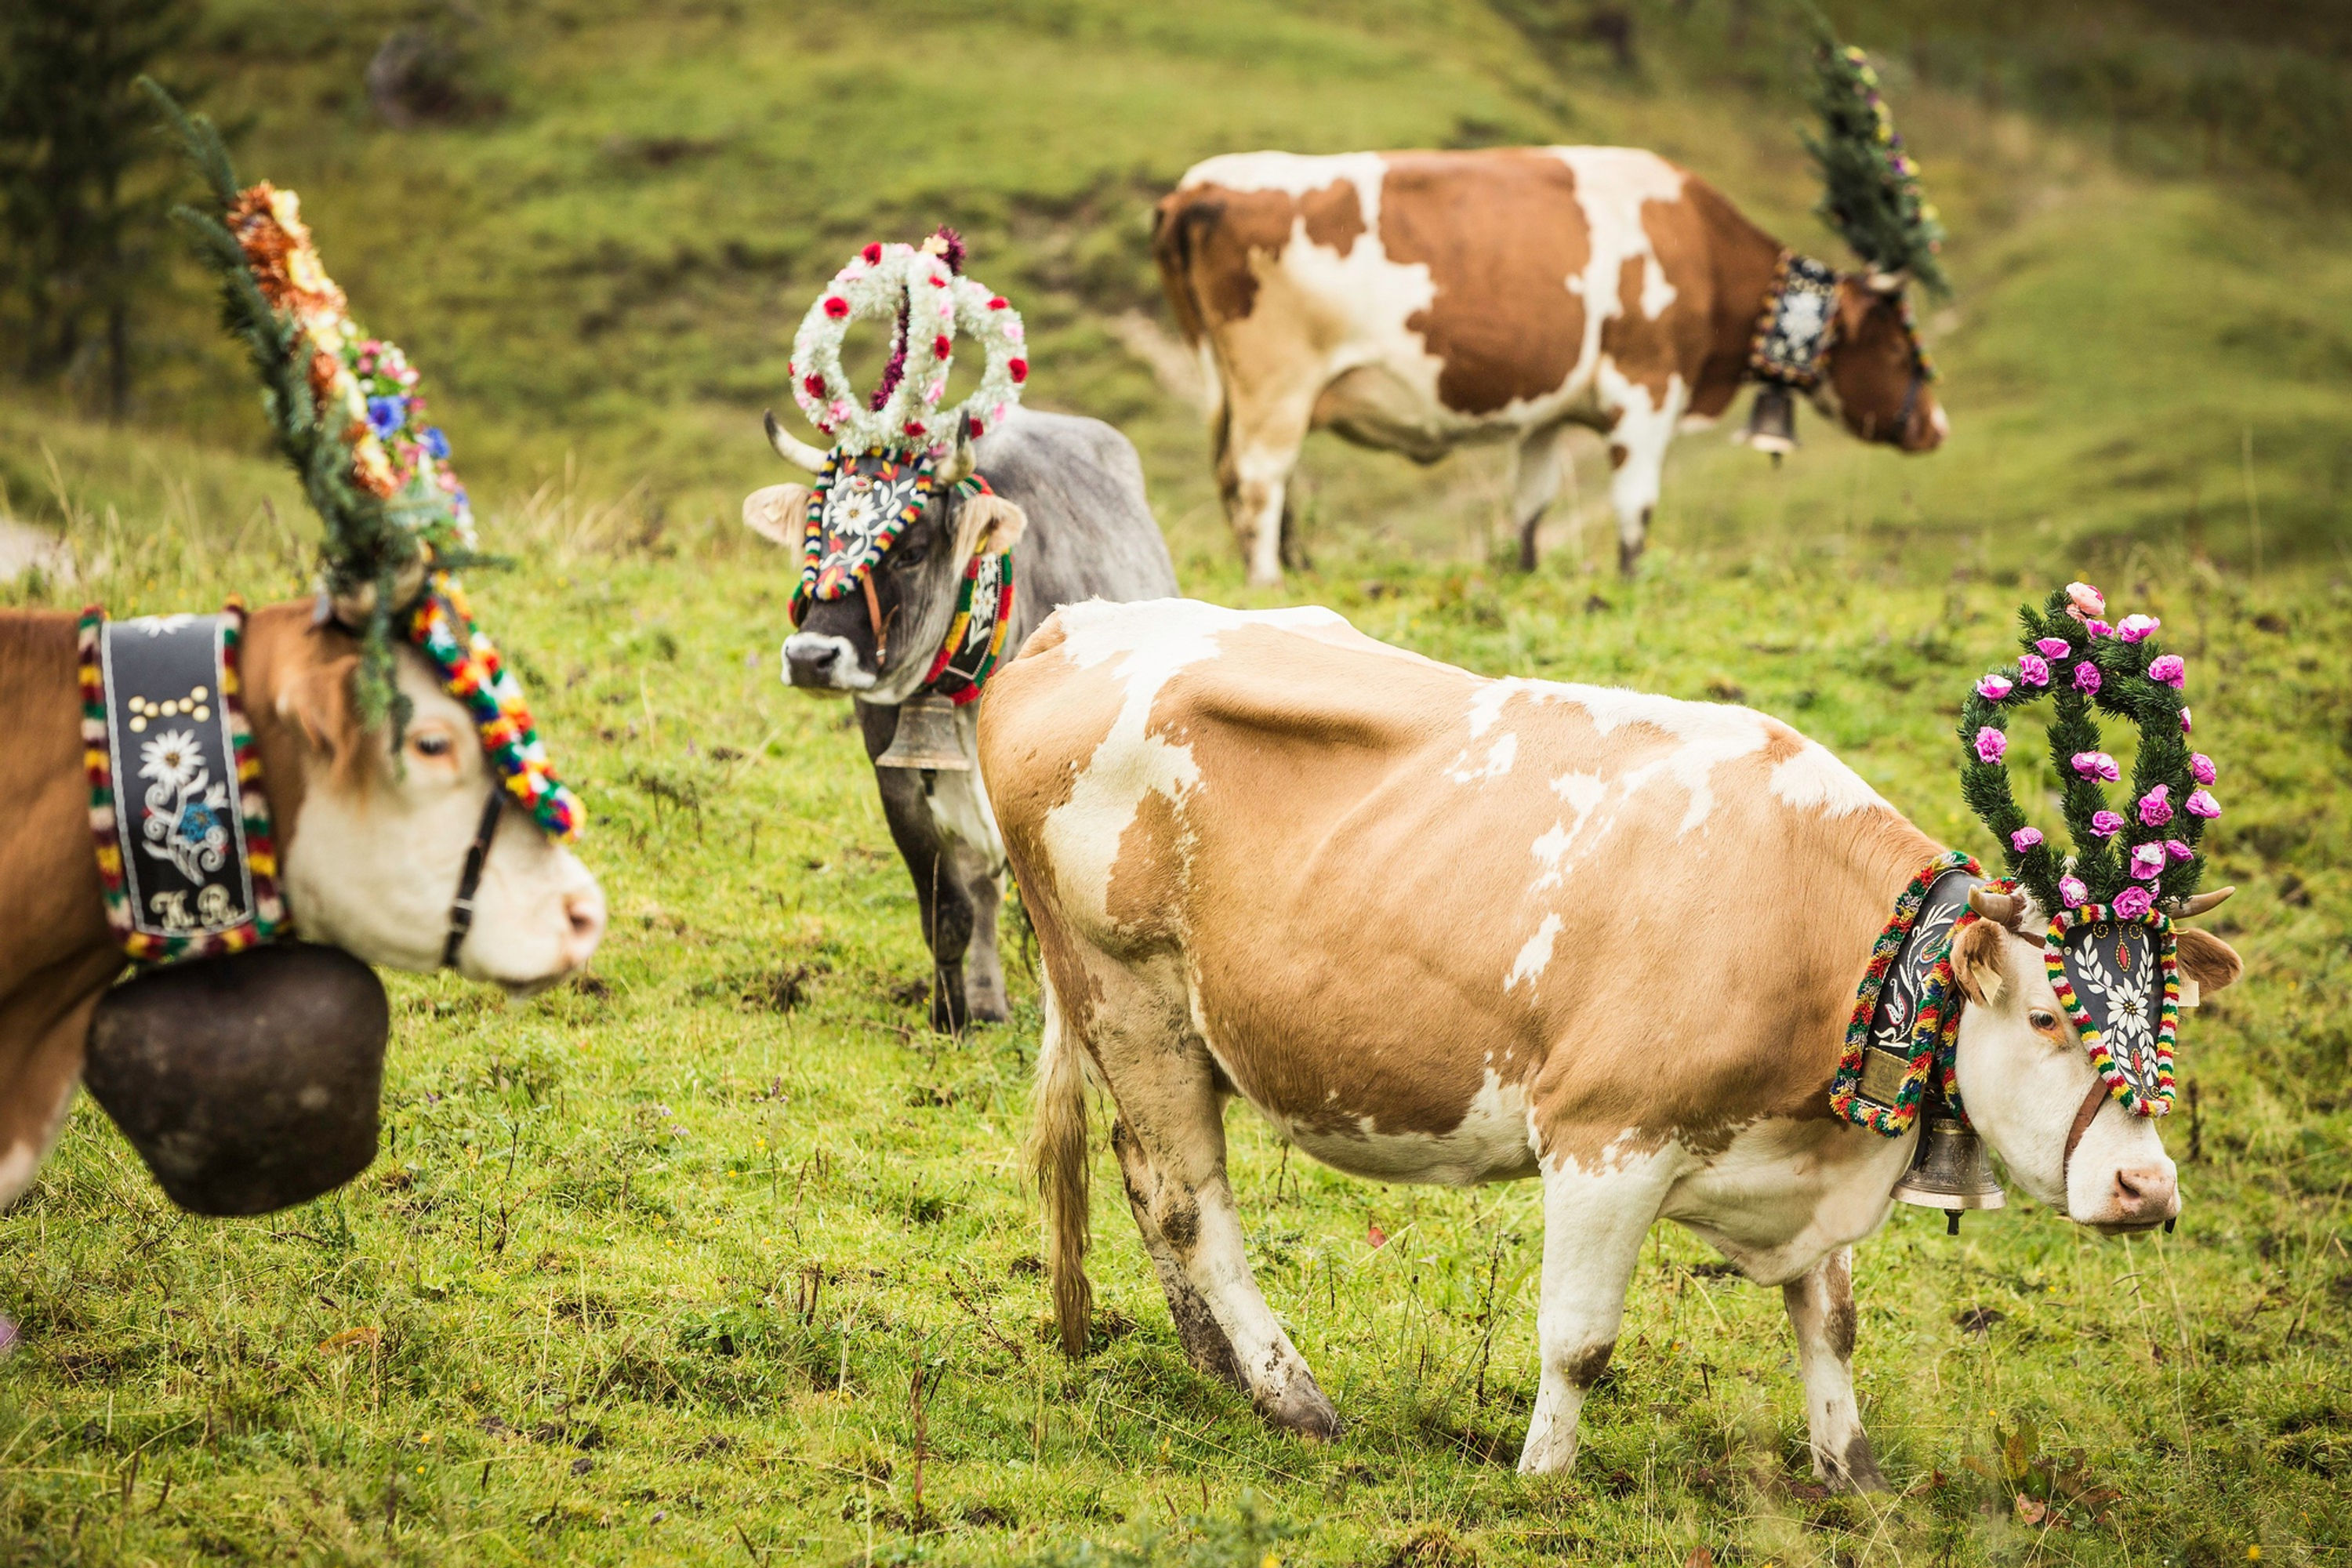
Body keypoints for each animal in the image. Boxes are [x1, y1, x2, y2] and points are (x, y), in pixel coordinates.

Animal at [745, 408, 1179, 1032]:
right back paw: (987, 998)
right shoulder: (897, 782)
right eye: (814, 539)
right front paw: (949, 1015)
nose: (809, 657)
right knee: (981, 889)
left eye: (911, 551)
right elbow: (950, 910)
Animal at [981, 598, 2242, 1482]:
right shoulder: (1604, 1138)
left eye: (2168, 1021)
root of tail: (1073, 626)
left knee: (1147, 1182)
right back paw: (1292, 1394)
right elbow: (1579, 1339)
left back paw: (1218, 1366)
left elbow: (1831, 1321)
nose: (2146, 1188)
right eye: (2048, 1014)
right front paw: (1539, 1477)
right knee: (1193, 1203)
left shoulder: (1806, 1156)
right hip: (1128, 993)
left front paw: (1852, 1472)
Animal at [1153, 147, 1948, 585]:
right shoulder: (1645, 386)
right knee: (1262, 478)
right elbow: (1636, 504)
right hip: (1278, 382)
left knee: (1243, 478)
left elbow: (1531, 502)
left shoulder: (1547, 411)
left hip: (1228, 387)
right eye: (1899, 345)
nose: (1937, 427)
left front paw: (1528, 570)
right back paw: (1269, 579)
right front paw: (1631, 583)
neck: (1702, 251)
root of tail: (1196, 187)